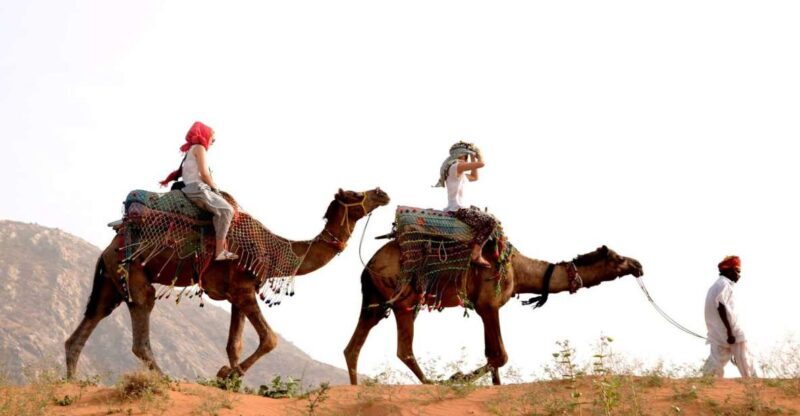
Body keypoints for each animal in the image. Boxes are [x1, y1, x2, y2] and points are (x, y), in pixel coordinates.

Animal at [66, 188, 390, 380]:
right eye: (354, 192)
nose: (381, 192)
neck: (275, 251)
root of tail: (109, 247)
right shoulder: (243, 289)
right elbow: (269, 339)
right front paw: (227, 376)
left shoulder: (236, 295)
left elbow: (233, 344)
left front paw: (232, 382)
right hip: (133, 272)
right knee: (141, 331)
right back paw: (169, 381)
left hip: (110, 282)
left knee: (85, 327)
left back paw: (71, 384)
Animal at [343, 242, 643, 385]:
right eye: (618, 259)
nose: (638, 265)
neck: (519, 271)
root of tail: (370, 263)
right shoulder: (489, 304)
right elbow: (500, 355)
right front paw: (457, 377)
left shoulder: (484, 309)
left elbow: (492, 356)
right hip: (403, 298)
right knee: (403, 349)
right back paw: (434, 383)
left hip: (376, 299)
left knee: (353, 347)